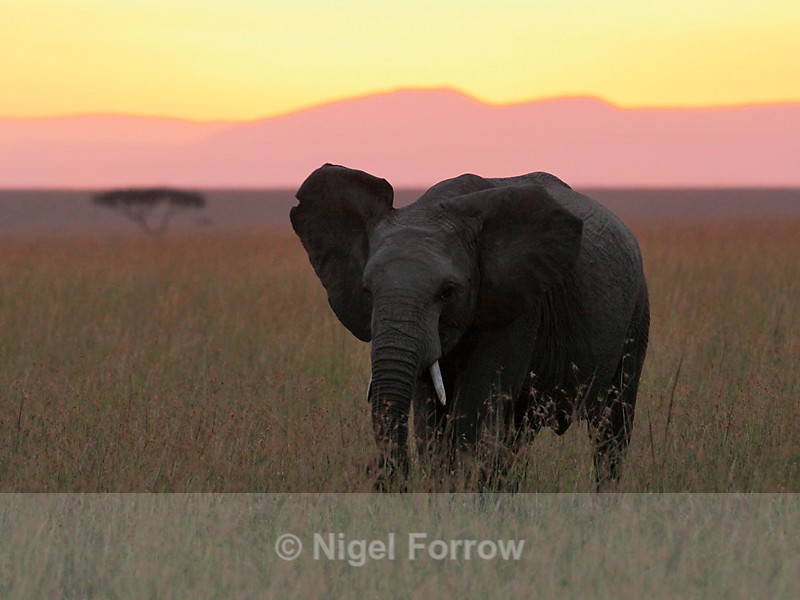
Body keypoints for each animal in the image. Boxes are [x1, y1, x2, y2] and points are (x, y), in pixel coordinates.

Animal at [291, 164, 649, 489]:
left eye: (447, 292)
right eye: (367, 291)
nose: (381, 476)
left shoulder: (517, 305)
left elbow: (475, 407)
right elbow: (430, 416)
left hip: (636, 313)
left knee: (611, 426)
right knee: (519, 431)